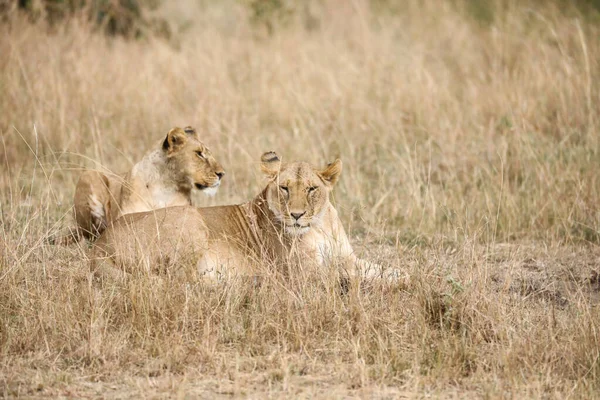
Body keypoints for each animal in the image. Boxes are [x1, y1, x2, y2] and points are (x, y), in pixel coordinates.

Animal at [91, 151, 382, 284]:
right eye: (284, 188)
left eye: (311, 189)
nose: (296, 215)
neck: (320, 225)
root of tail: (99, 246)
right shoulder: (302, 273)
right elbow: (348, 275)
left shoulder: (347, 256)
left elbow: (379, 269)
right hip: (191, 222)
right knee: (180, 281)